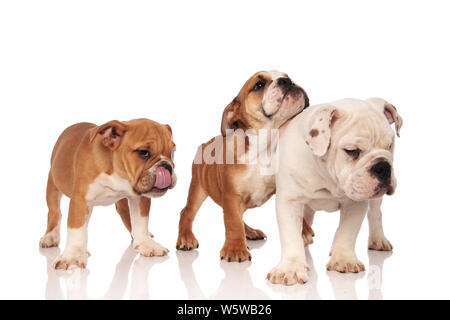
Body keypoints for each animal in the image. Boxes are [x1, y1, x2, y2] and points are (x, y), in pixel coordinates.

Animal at [39, 119, 176, 268]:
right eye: (143, 152)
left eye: (172, 152)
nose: (166, 166)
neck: (116, 171)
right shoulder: (80, 199)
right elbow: (76, 227)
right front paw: (72, 255)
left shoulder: (140, 198)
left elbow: (140, 221)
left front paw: (146, 243)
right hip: (53, 183)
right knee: (54, 212)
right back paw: (50, 236)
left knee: (125, 214)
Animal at [176, 70, 312, 262]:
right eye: (259, 85)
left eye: (288, 76)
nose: (287, 81)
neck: (266, 146)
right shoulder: (232, 195)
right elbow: (232, 222)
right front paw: (235, 248)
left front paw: (304, 230)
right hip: (198, 187)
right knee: (187, 211)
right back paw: (186, 238)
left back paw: (250, 232)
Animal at [266, 97, 402, 284]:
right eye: (351, 151)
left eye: (390, 146)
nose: (383, 166)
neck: (327, 178)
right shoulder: (289, 201)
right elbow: (290, 235)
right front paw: (290, 268)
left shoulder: (355, 204)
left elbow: (347, 231)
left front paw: (344, 260)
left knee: (375, 213)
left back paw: (378, 239)